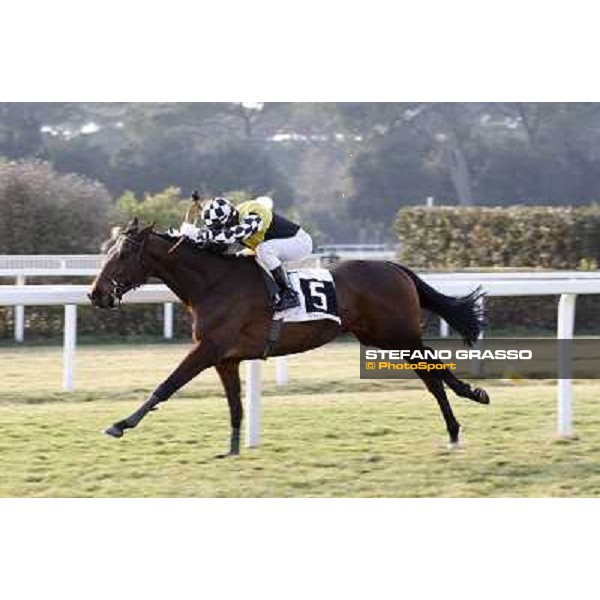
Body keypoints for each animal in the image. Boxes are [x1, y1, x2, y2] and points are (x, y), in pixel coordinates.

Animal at [90, 218, 492, 458]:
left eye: (123, 254)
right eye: (107, 251)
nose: (96, 294)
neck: (213, 283)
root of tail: (394, 266)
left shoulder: (207, 349)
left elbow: (167, 384)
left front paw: (121, 424)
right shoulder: (225, 358)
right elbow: (235, 407)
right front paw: (233, 450)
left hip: (397, 334)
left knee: (434, 370)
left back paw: (472, 396)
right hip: (383, 336)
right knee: (430, 376)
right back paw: (455, 426)